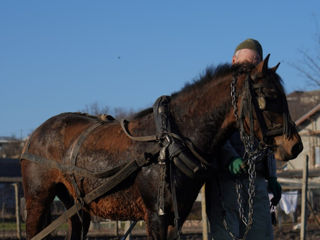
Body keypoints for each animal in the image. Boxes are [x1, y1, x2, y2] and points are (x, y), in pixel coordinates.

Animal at [20, 55, 302, 239]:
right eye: (271, 96)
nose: (296, 146)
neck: (171, 142)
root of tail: (35, 134)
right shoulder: (155, 215)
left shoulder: (178, 214)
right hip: (38, 198)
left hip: (76, 205)